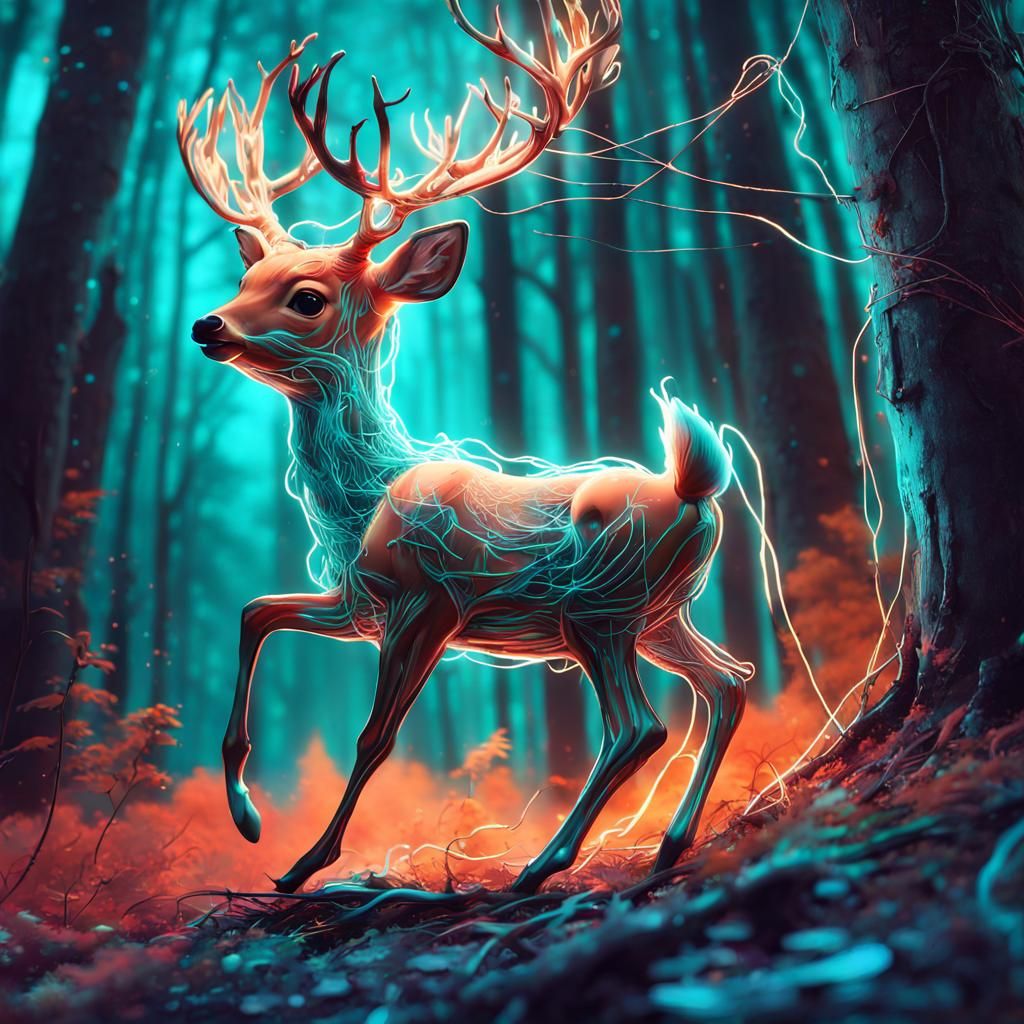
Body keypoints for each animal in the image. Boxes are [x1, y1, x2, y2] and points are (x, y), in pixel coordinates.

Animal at [177, 0, 753, 895]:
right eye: (246, 280)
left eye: (306, 297)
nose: (208, 325)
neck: (367, 497)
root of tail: (697, 490)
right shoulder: (357, 603)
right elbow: (255, 611)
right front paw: (247, 817)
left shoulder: (427, 603)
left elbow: (374, 737)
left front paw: (302, 865)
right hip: (659, 614)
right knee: (727, 684)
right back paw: (665, 845)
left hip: (596, 608)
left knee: (640, 726)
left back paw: (542, 864)